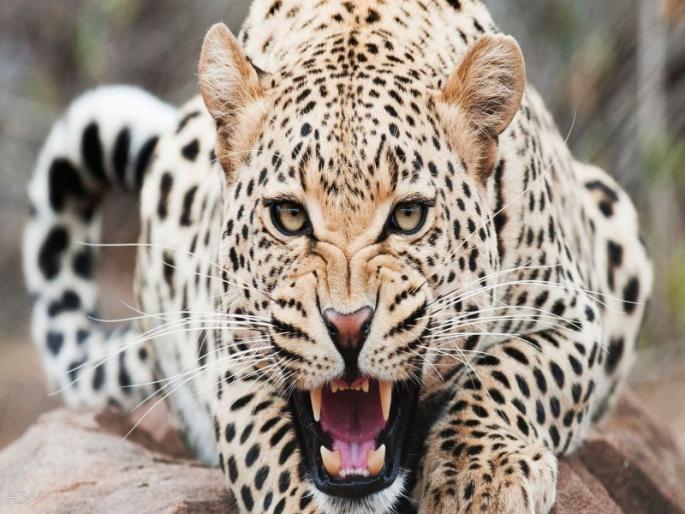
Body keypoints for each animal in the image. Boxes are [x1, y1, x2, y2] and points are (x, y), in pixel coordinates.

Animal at [23, 1, 653, 513]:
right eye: (288, 217)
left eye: (408, 217)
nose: (348, 327)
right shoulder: (234, 362)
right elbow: (275, 465)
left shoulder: (572, 315)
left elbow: (511, 371)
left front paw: (481, 477)